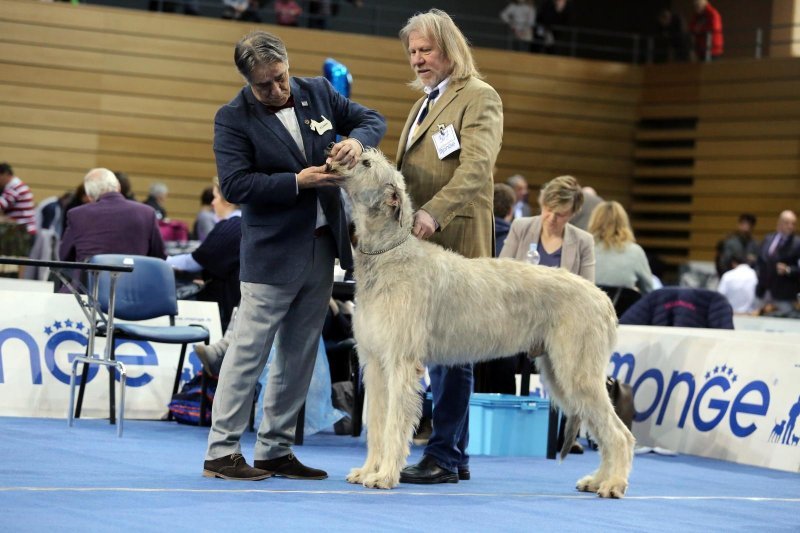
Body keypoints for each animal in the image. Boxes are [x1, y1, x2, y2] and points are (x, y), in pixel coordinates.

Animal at [334, 149, 636, 494]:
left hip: (577, 371)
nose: (334, 150)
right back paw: (598, 479)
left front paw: (384, 475)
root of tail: (603, 299)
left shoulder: (400, 362)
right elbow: (377, 421)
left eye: (365, 163)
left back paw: (613, 483)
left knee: (620, 434)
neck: (389, 253)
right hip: (559, 372)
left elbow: (394, 423)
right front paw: (367, 470)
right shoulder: (374, 362)